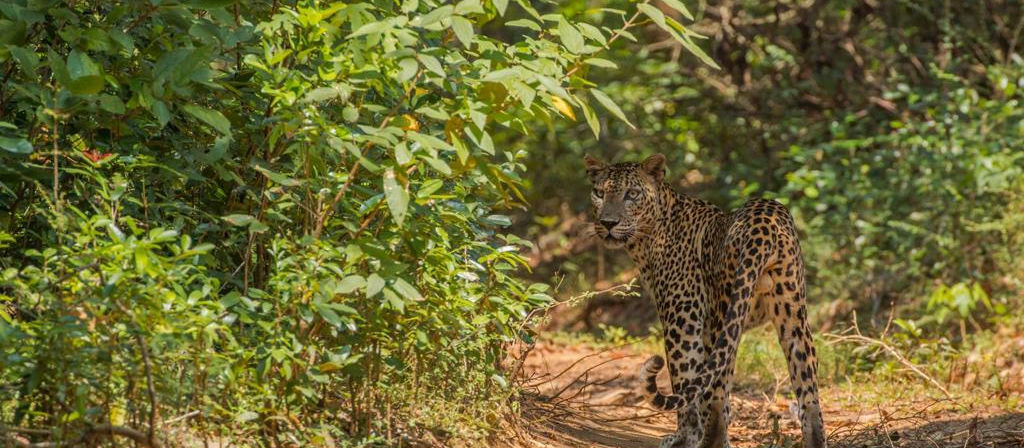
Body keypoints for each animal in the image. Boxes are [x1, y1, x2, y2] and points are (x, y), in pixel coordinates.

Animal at [584, 153, 826, 448]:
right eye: (599, 193)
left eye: (631, 194)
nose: (608, 223)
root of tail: (765, 217)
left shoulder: (682, 317)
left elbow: (686, 379)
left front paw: (684, 437)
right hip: (792, 313)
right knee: (808, 392)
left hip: (723, 311)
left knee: (715, 391)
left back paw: (707, 440)